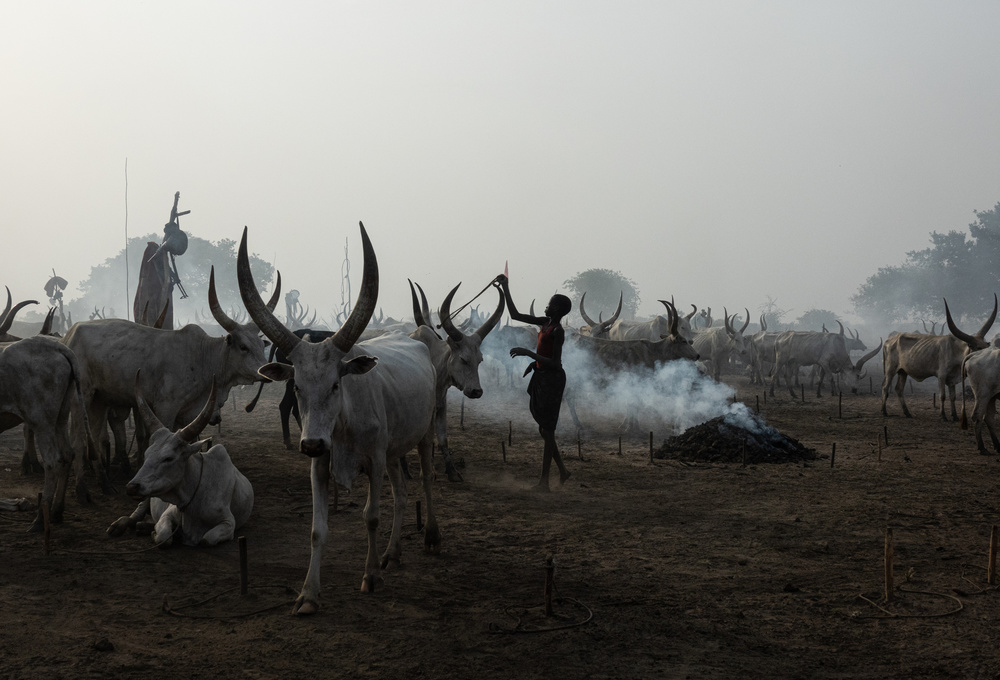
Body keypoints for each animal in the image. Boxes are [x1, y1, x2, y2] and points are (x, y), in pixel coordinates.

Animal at [236, 223, 440, 616]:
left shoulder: (374, 460)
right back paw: (393, 553)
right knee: (403, 495)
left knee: (425, 481)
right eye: (297, 386)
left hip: (423, 437)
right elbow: (318, 529)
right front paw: (308, 595)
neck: (342, 427)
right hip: (394, 451)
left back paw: (432, 536)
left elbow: (371, 516)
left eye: (335, 384)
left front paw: (371, 577)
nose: (311, 442)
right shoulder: (321, 464)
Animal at [406, 278, 504, 480]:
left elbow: (443, 438)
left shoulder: (441, 405)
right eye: (463, 359)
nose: (476, 391)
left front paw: (452, 471)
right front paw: (429, 471)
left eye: (480, 360)